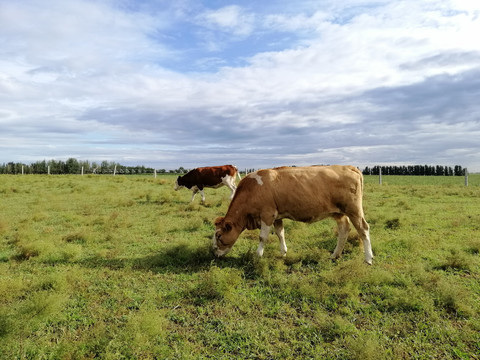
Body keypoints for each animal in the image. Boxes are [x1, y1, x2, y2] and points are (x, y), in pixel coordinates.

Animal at [214, 166, 376, 264]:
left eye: (219, 236)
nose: (214, 252)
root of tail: (349, 167)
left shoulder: (267, 214)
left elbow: (263, 237)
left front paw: (258, 255)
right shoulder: (277, 216)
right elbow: (280, 233)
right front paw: (283, 253)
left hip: (354, 210)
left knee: (363, 229)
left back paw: (368, 258)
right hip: (339, 212)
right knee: (344, 229)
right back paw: (335, 255)